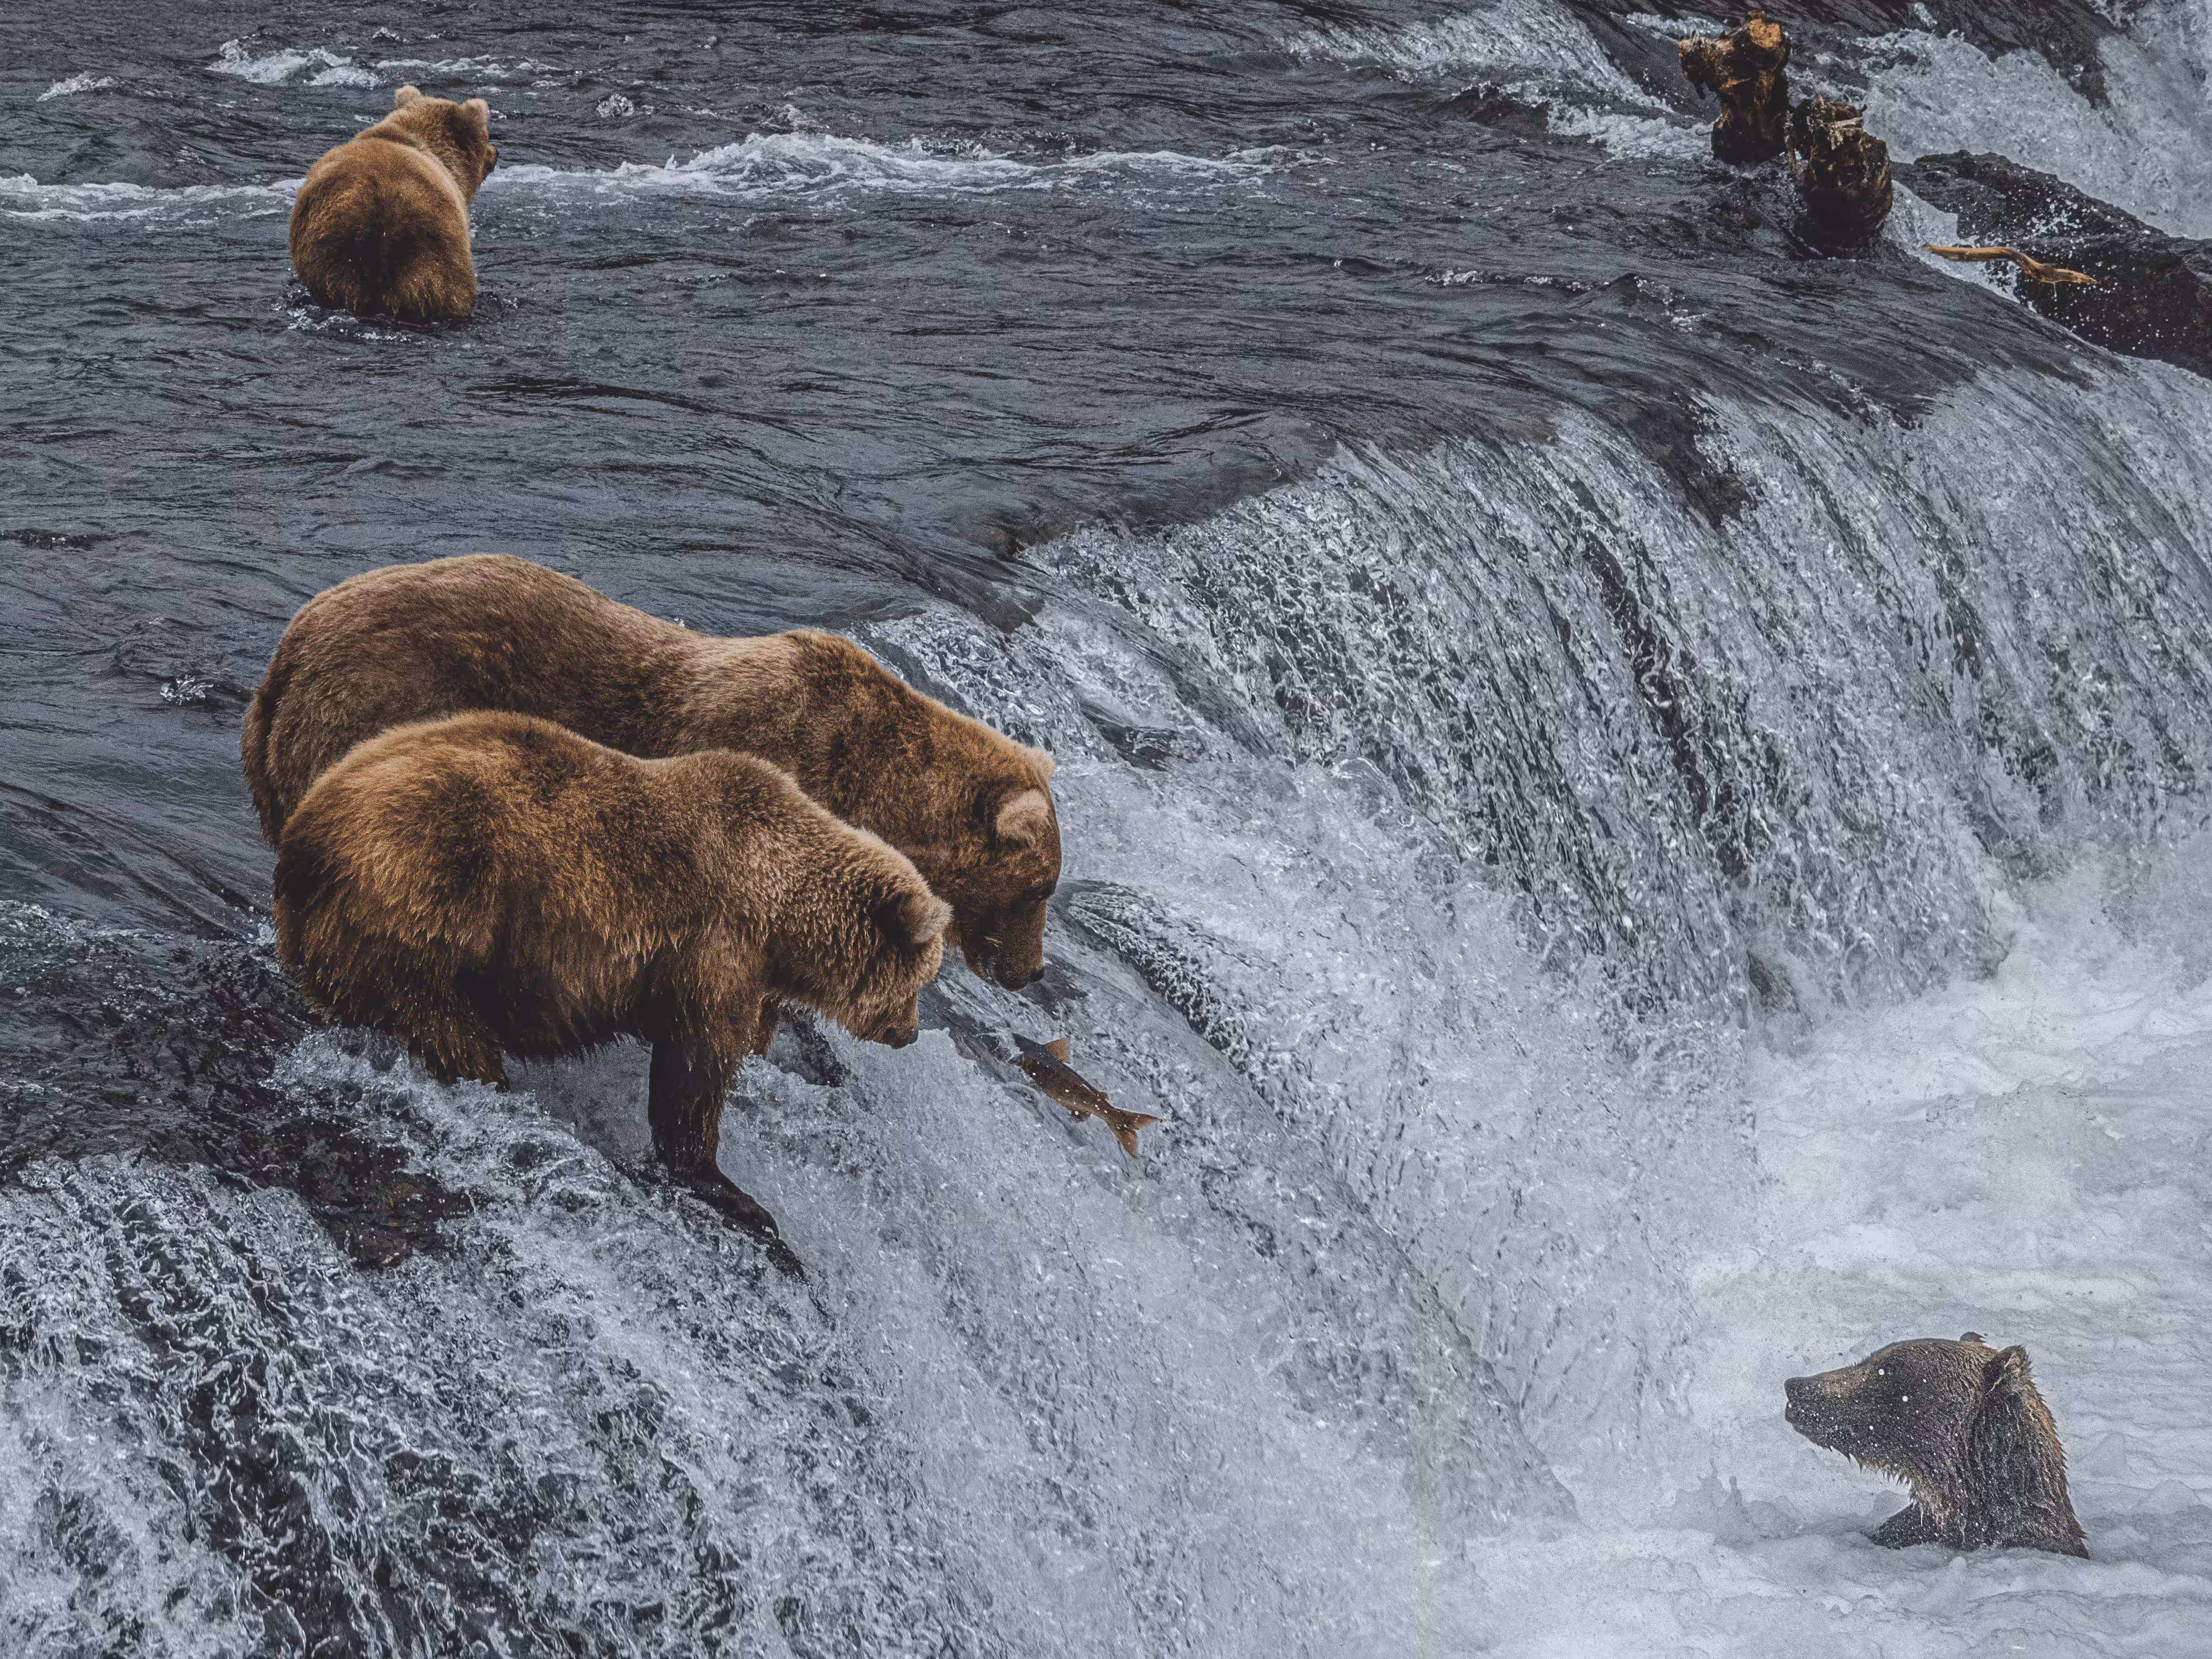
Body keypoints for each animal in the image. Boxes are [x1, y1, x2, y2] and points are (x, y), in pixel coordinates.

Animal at [273, 710, 951, 1255]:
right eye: (919, 980)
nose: (910, 1033)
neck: (782, 914)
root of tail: (307, 834)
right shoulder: (713, 950)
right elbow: (694, 1075)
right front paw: (728, 1186)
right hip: (425, 903)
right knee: (446, 1027)